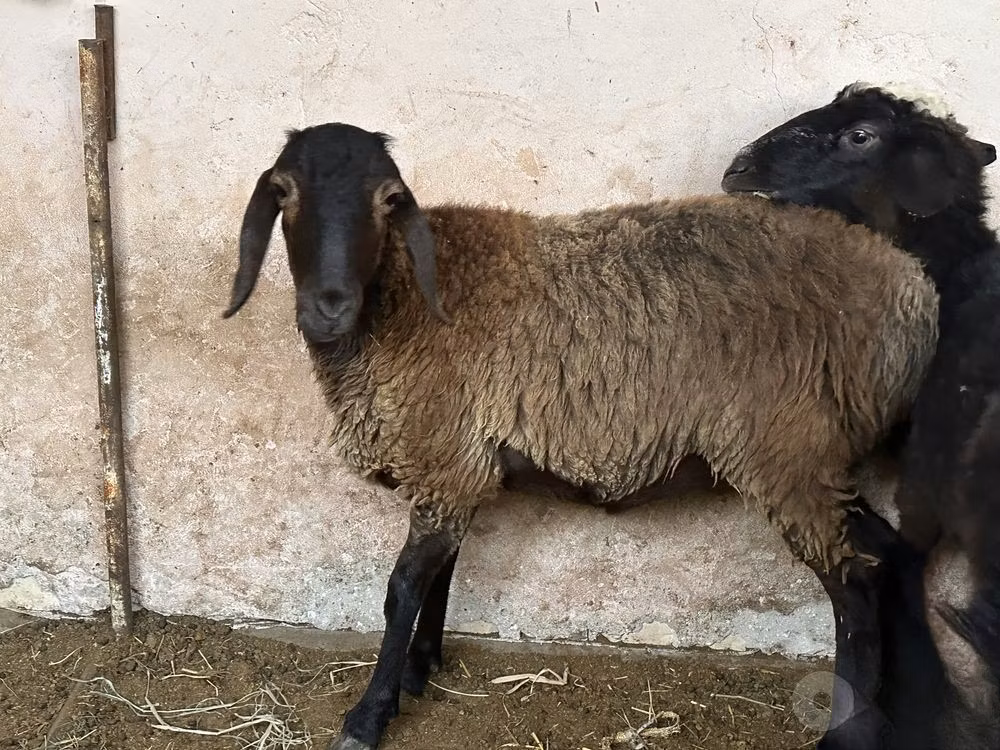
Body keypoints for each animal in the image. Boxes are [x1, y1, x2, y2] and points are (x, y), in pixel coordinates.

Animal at [223, 122, 939, 750]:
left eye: (388, 200)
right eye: (283, 192)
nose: (328, 307)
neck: (398, 300)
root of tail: (912, 289)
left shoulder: (444, 456)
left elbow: (401, 590)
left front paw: (369, 716)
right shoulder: (457, 465)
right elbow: (440, 574)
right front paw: (422, 670)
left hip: (787, 449)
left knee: (854, 582)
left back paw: (851, 730)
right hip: (820, 457)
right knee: (884, 553)